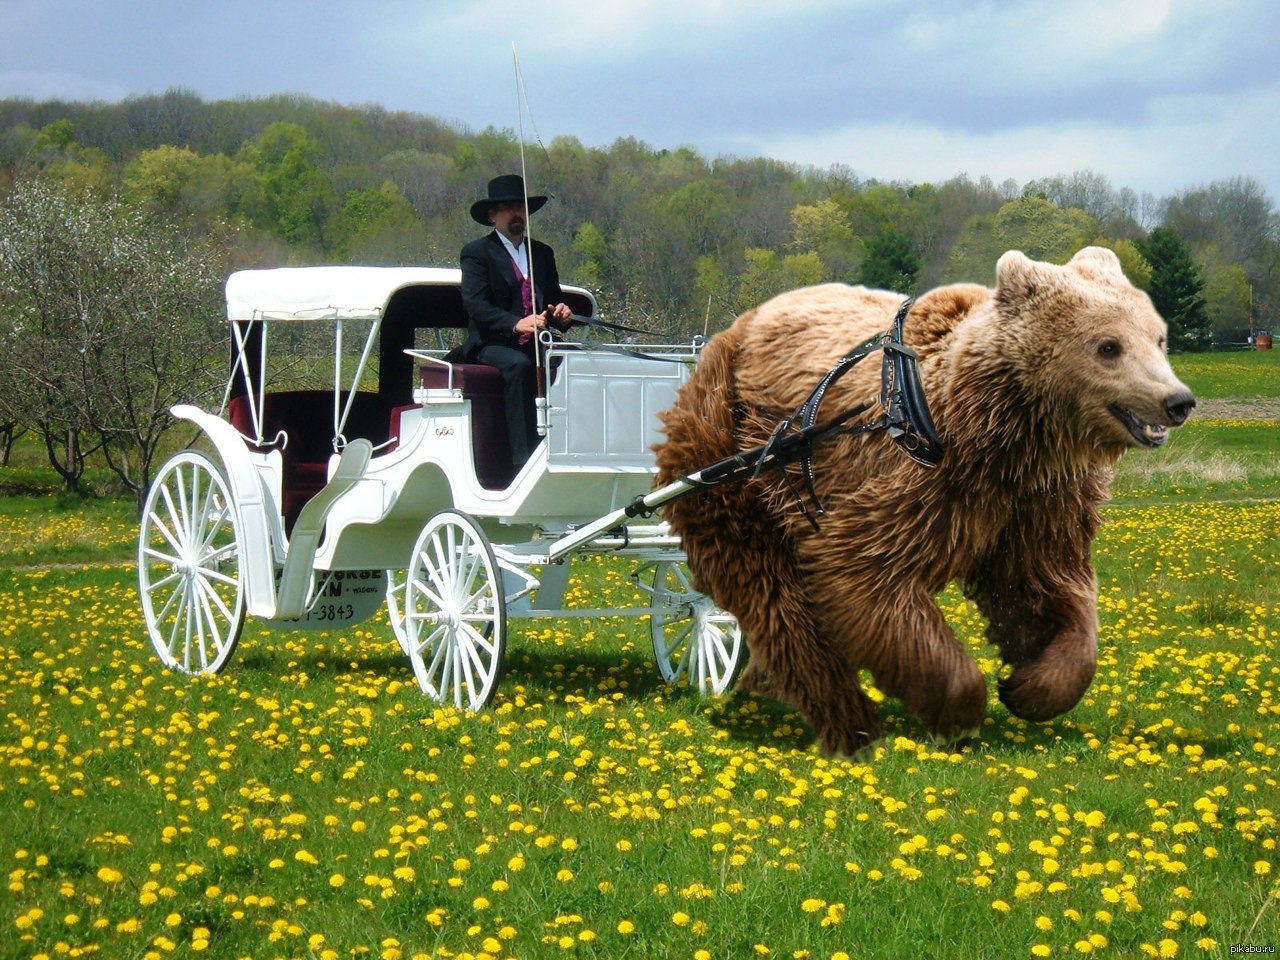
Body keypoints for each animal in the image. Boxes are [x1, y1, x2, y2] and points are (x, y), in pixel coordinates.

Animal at [655, 244, 1192, 757]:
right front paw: (960, 710)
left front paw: (1028, 686)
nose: (1178, 400)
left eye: (1159, 338)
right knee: (772, 593)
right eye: (1108, 346)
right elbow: (865, 574)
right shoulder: (907, 484)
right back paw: (849, 722)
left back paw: (765, 686)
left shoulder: (1037, 502)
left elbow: (1045, 587)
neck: (1002, 436)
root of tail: (726, 336)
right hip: (737, 458)